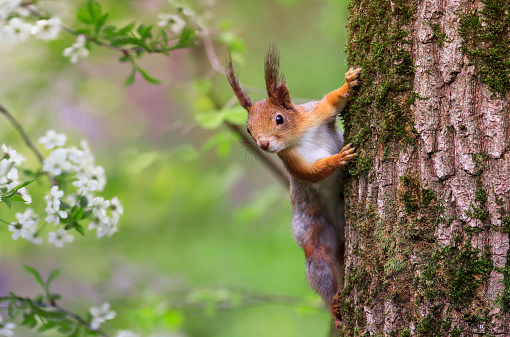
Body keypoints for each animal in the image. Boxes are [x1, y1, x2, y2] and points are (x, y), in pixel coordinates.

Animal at [225, 46, 360, 326]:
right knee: (319, 266)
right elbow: (312, 172)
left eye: (279, 118)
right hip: (313, 232)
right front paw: (337, 158)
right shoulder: (292, 162)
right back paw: (334, 303)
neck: (300, 136)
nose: (264, 145)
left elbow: (333, 101)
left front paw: (349, 81)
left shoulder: (316, 114)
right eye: (248, 129)